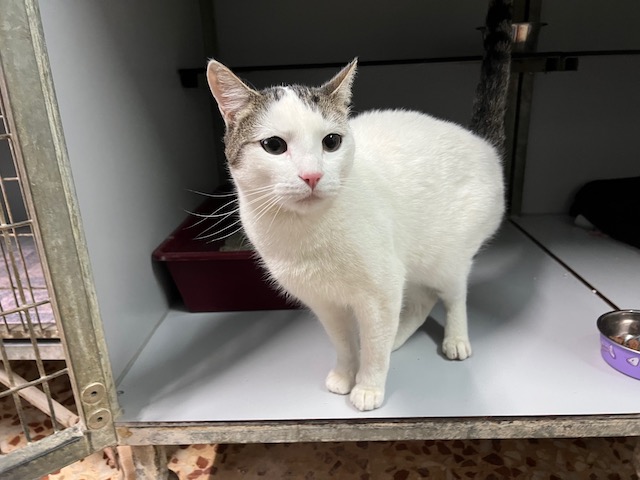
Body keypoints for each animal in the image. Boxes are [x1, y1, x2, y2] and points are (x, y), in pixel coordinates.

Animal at [205, 0, 512, 411]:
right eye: (273, 146)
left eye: (331, 142)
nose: (312, 176)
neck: (308, 235)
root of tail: (481, 143)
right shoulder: (326, 304)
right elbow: (345, 344)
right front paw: (344, 375)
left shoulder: (380, 293)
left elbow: (374, 348)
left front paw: (368, 387)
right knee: (422, 299)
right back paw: (400, 335)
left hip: (447, 257)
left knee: (453, 295)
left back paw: (455, 340)